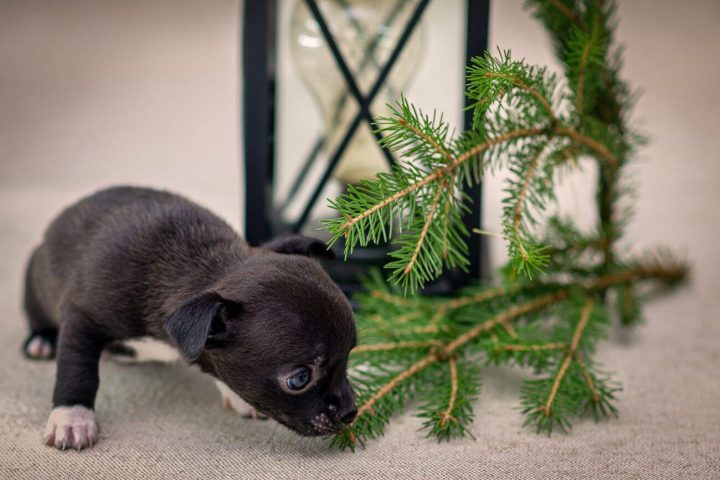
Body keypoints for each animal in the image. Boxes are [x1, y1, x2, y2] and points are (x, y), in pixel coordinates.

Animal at [21, 186, 358, 448]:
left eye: (349, 355)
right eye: (299, 379)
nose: (351, 412)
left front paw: (236, 396)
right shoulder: (82, 318)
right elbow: (78, 371)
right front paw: (72, 417)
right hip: (35, 280)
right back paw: (42, 340)